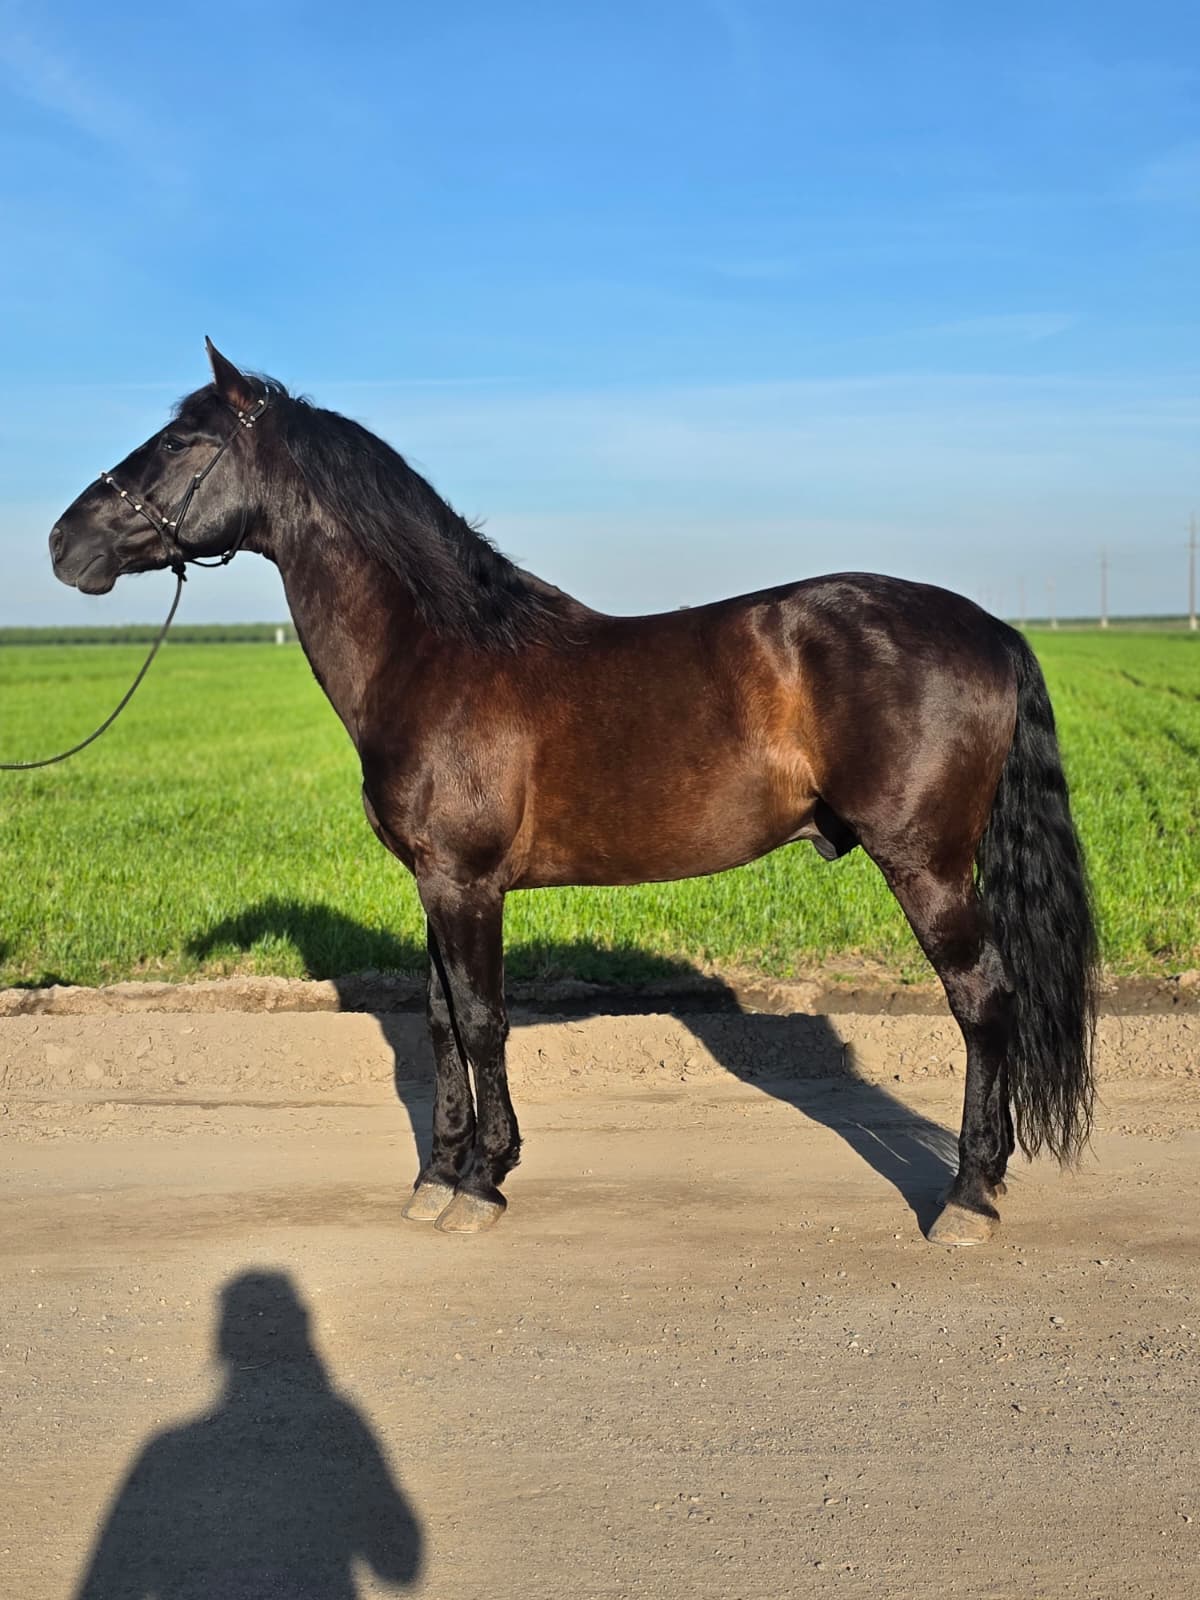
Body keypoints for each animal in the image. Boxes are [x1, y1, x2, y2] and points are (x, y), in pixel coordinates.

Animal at [49, 341, 1096, 1243]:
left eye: (182, 442)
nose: (65, 544)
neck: (437, 651)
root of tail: (993, 628)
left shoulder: (467, 883)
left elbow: (481, 1021)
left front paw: (483, 1182)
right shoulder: (434, 883)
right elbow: (438, 1021)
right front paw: (437, 1177)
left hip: (927, 866)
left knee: (983, 1003)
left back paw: (968, 1196)